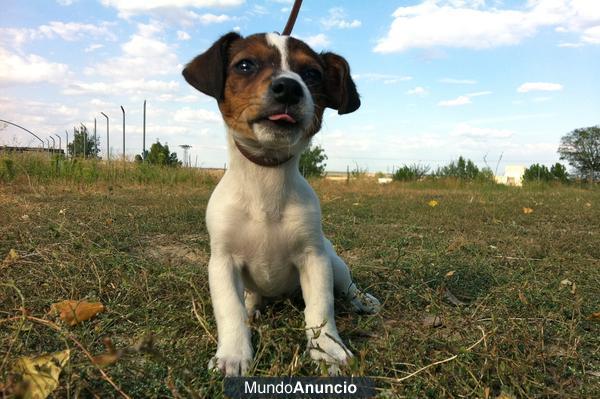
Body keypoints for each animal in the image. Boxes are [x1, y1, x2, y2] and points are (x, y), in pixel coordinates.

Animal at [182, 32, 380, 376]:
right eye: (245, 65)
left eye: (312, 74)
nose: (288, 87)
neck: (266, 182)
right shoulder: (222, 262)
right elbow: (229, 310)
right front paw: (233, 354)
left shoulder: (314, 260)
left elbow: (320, 309)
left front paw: (327, 349)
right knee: (249, 297)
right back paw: (252, 307)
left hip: (334, 262)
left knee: (347, 285)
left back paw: (362, 300)